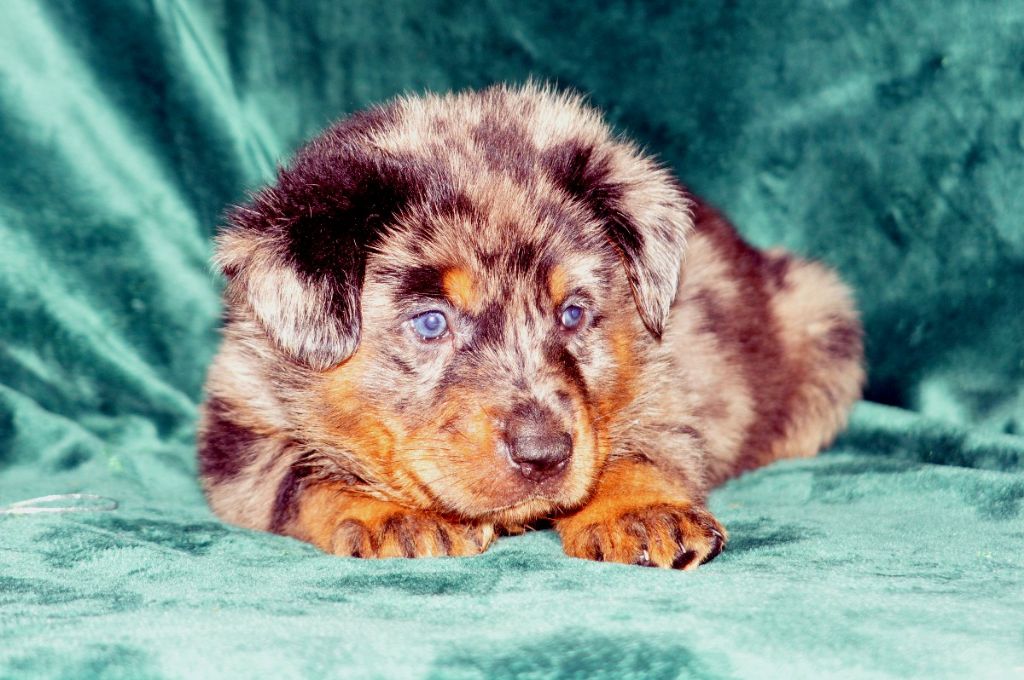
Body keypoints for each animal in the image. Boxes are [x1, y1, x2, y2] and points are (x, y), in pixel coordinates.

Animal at [198, 84, 863, 569]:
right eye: (431, 322)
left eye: (572, 314)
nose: (544, 454)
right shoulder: (238, 429)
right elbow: (305, 470)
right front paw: (400, 516)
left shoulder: (669, 382)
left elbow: (637, 446)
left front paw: (639, 513)